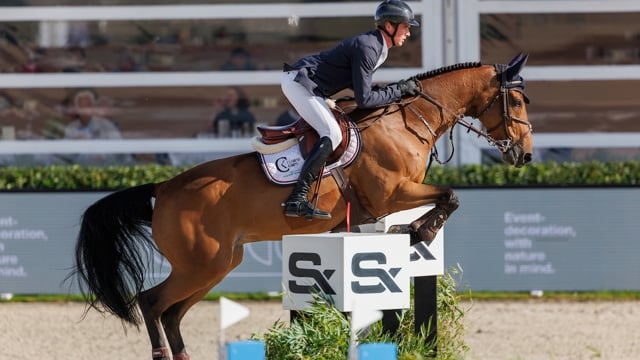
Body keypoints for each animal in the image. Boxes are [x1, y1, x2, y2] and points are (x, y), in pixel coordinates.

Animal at [70, 52, 532, 358]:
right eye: (517, 102)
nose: (524, 155)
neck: (407, 121)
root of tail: (163, 188)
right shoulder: (391, 193)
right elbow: (451, 195)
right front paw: (421, 230)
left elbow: (446, 198)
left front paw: (415, 230)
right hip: (200, 264)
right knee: (151, 303)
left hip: (216, 264)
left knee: (171, 313)